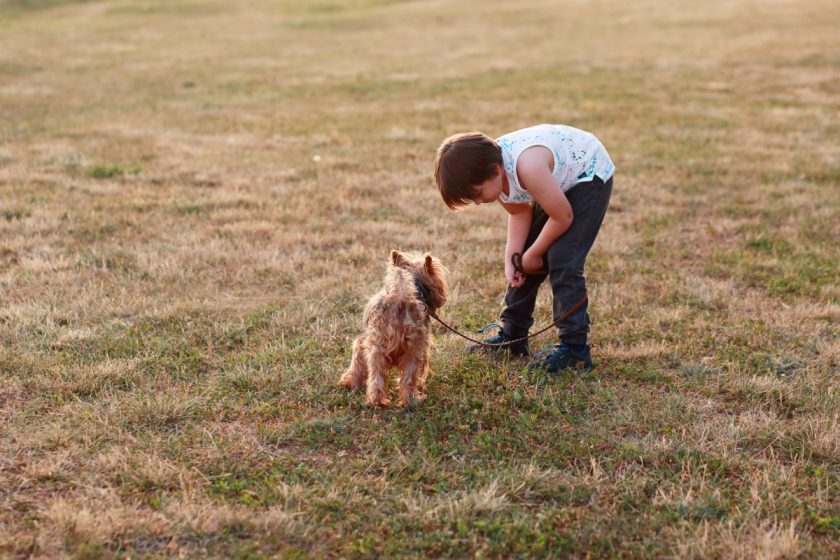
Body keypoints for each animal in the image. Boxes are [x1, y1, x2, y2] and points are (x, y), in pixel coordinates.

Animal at [340, 250, 450, 406]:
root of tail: (400, 301)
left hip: (381, 347)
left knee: (378, 375)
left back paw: (378, 401)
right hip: (412, 348)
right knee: (406, 376)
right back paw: (410, 400)